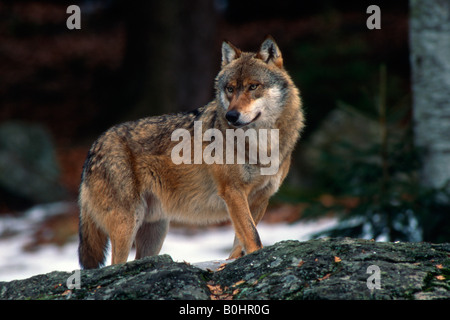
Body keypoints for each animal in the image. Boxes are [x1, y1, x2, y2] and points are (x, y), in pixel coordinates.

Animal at [79, 36, 304, 268]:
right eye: (230, 89)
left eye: (253, 86)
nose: (231, 116)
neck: (262, 145)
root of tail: (93, 147)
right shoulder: (233, 192)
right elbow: (252, 237)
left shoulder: (260, 199)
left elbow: (241, 242)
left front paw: (231, 262)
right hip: (128, 223)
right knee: (115, 263)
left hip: (156, 231)